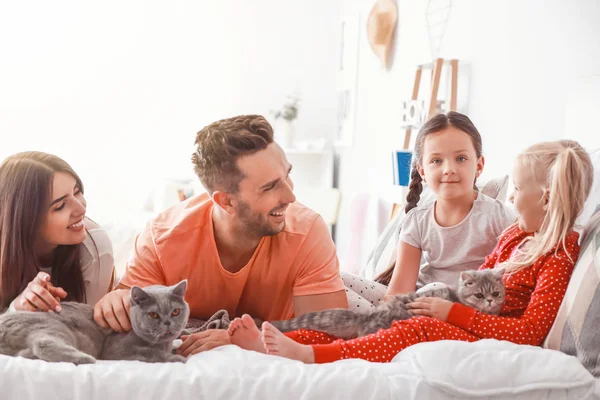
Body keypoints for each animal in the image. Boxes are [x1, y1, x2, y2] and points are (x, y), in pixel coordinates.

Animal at [0, 280, 190, 364]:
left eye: (175, 312)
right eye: (154, 315)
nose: (168, 323)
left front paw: (180, 340)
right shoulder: (116, 350)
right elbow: (151, 353)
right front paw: (177, 357)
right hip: (52, 325)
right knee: (43, 344)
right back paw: (87, 358)